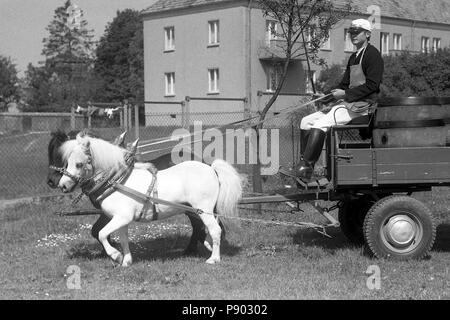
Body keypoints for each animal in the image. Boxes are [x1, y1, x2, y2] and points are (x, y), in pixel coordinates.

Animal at [59, 131, 244, 266]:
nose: (63, 186)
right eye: (67, 162)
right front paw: (126, 261)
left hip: (203, 210)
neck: (118, 181)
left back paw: (213, 258)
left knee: (215, 230)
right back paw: (207, 246)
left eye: (79, 164)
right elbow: (123, 239)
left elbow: (102, 234)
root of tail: (211, 168)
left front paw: (115, 255)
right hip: (198, 211)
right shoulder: (120, 220)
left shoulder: (121, 217)